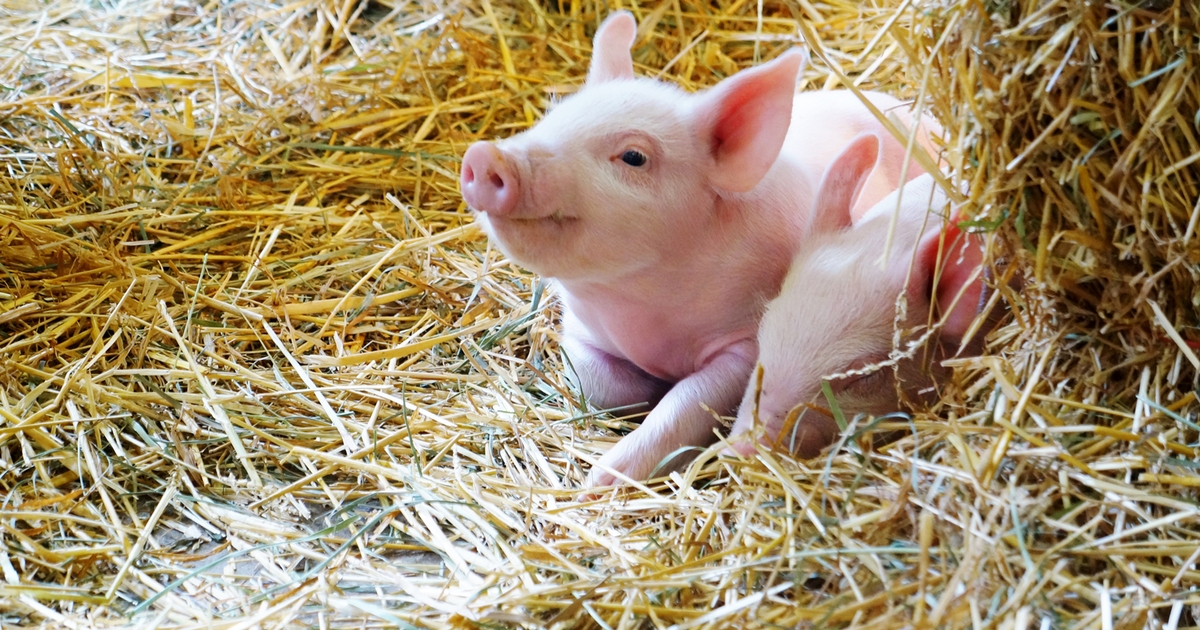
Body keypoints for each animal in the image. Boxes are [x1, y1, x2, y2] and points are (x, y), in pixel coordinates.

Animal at [458, 10, 942, 487]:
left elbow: (689, 401)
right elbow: (600, 384)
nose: (484, 156)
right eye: (551, 115)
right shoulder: (579, 331)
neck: (644, 313)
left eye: (634, 156)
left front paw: (600, 482)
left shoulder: (746, 342)